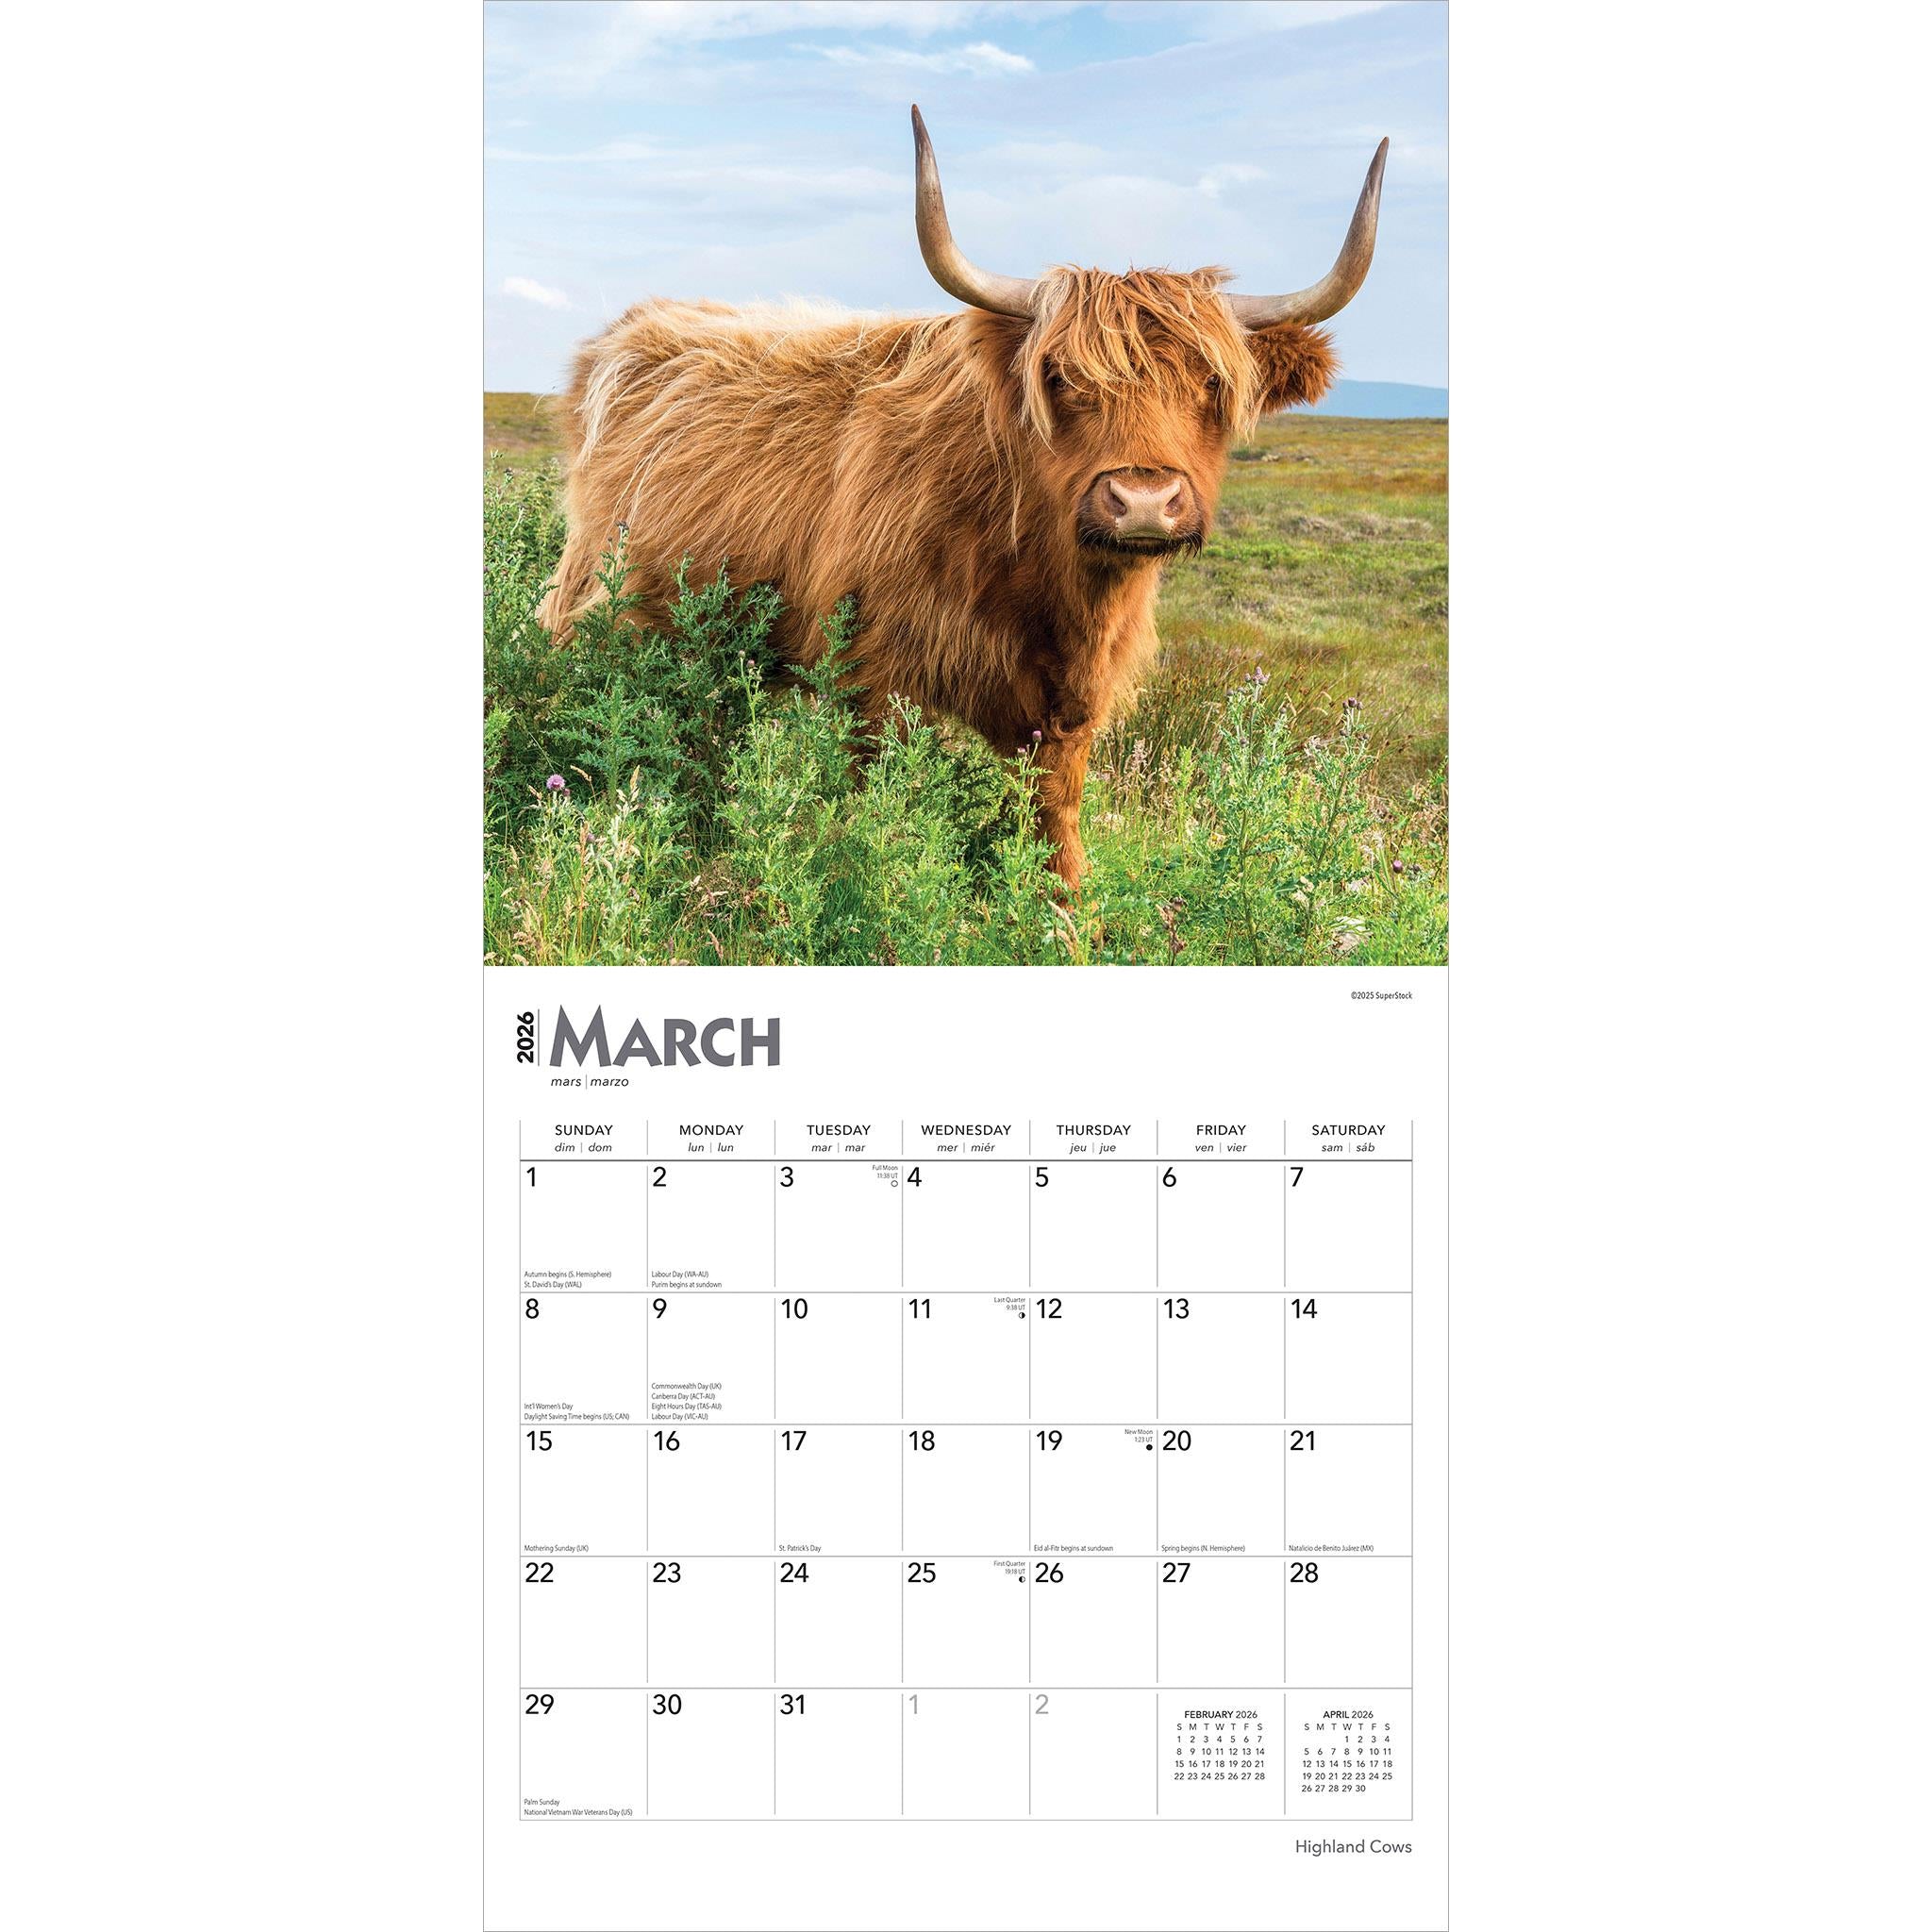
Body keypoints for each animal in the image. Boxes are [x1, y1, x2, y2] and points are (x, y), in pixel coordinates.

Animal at [539, 107, 1386, 888]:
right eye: (1061, 377)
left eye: (1212, 382)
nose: (1143, 501)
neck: (1038, 574)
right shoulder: (871, 672)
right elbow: (877, 806)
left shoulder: (1068, 705)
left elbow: (1054, 822)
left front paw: (1066, 920)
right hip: (597, 607)